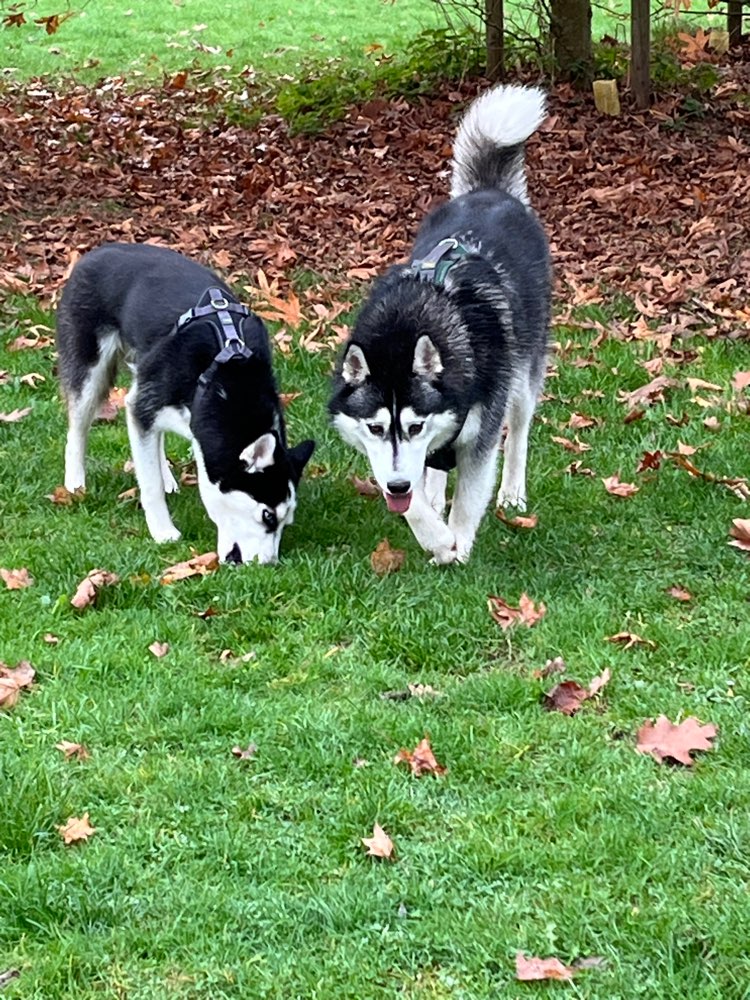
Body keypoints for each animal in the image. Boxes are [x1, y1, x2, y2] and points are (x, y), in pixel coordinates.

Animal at [57, 243, 314, 564]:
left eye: (285, 522)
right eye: (268, 516)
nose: (269, 565)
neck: (226, 374)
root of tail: (98, 251)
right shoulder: (143, 405)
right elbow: (149, 482)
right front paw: (162, 531)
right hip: (91, 372)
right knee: (77, 430)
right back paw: (75, 483)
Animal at [329, 84, 551, 565]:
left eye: (414, 426)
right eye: (375, 428)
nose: (397, 485)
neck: (409, 324)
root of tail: (489, 192)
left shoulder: (479, 436)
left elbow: (468, 497)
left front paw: (457, 546)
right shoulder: (389, 458)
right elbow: (410, 496)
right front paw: (432, 530)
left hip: (524, 374)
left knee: (519, 431)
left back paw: (512, 492)